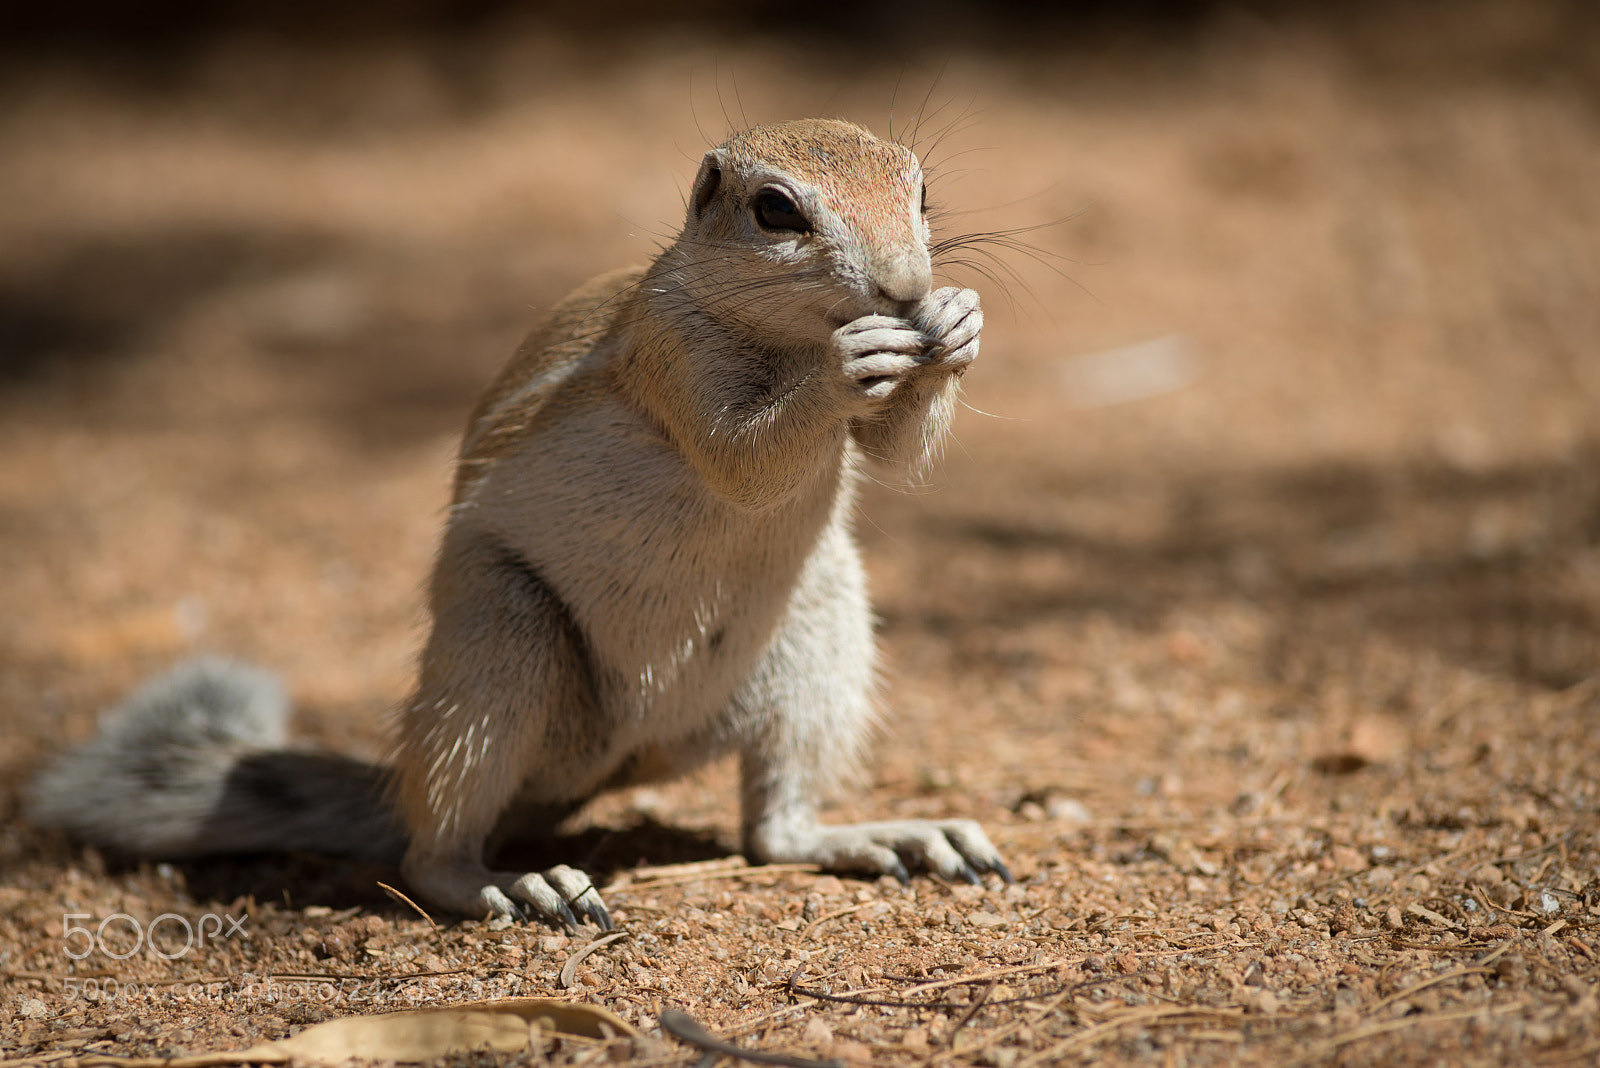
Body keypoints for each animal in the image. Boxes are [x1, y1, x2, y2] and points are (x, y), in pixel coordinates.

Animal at [29, 118, 1009, 930]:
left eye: (922, 190)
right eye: (775, 211)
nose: (906, 287)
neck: (789, 337)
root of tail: (616, 760)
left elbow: (894, 454)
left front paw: (956, 324)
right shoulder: (669, 357)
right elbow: (742, 455)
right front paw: (851, 364)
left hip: (820, 636)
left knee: (774, 831)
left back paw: (888, 835)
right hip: (499, 648)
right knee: (432, 851)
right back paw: (514, 884)